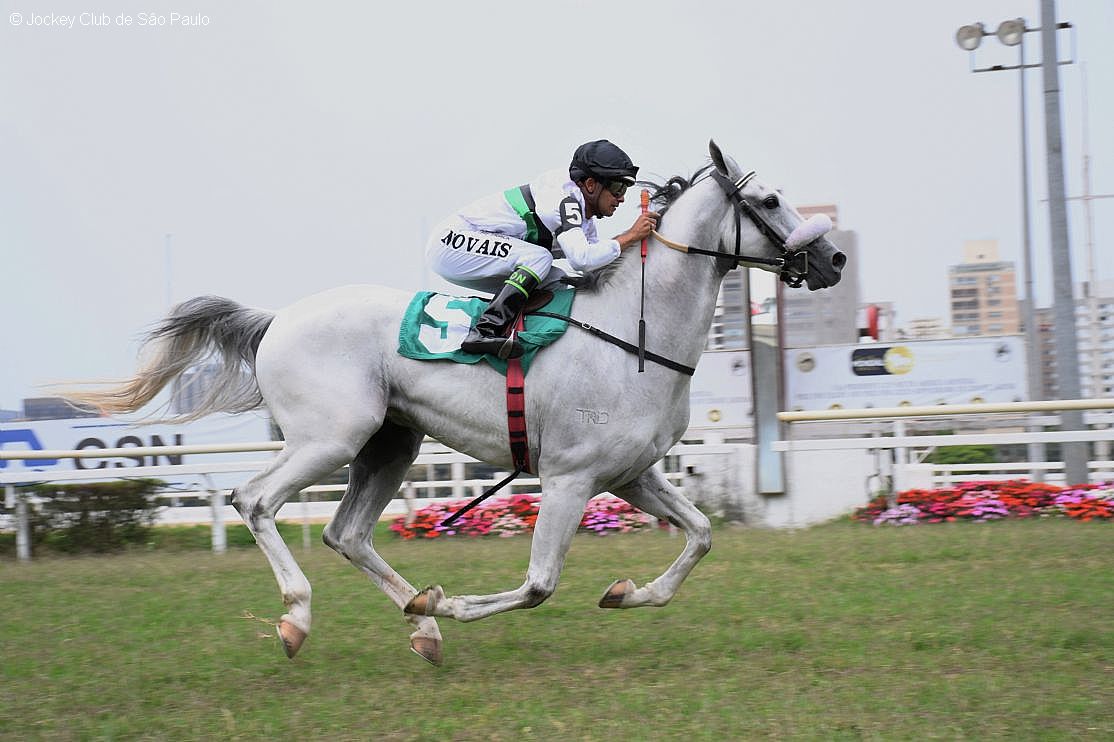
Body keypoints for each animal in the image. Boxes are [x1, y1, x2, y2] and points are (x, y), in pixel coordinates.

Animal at [71, 140, 842, 664]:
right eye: (769, 202)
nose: (832, 260)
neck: (634, 334)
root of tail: (277, 318)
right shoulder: (569, 478)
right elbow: (539, 584)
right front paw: (456, 599)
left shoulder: (630, 474)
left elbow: (702, 534)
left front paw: (628, 593)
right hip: (330, 437)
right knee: (255, 500)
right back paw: (301, 618)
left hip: (390, 444)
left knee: (346, 533)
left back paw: (423, 626)